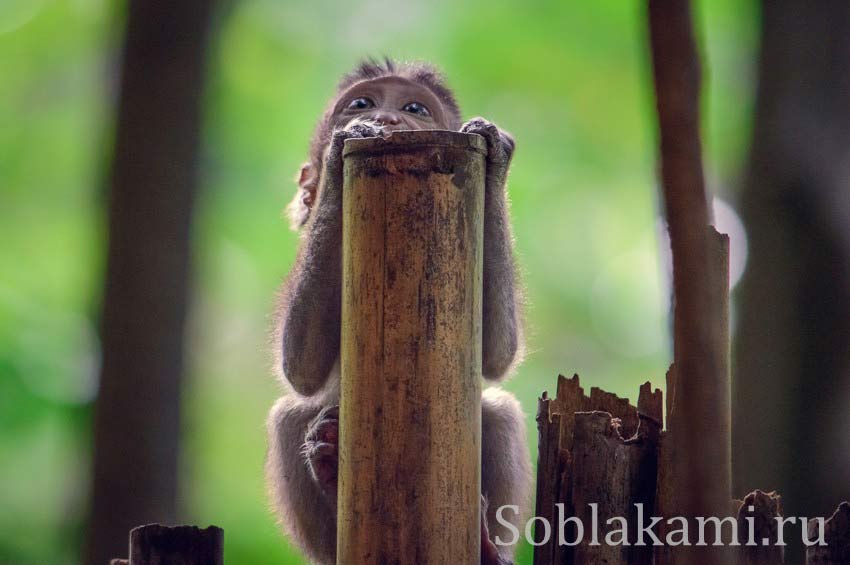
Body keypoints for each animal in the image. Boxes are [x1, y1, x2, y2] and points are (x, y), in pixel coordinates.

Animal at [264, 59, 528, 560]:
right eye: (361, 103)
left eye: (414, 108)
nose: (386, 118)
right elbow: (300, 368)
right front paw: (341, 148)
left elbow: (496, 357)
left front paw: (497, 156)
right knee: (288, 417)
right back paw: (329, 474)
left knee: (499, 409)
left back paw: (487, 550)